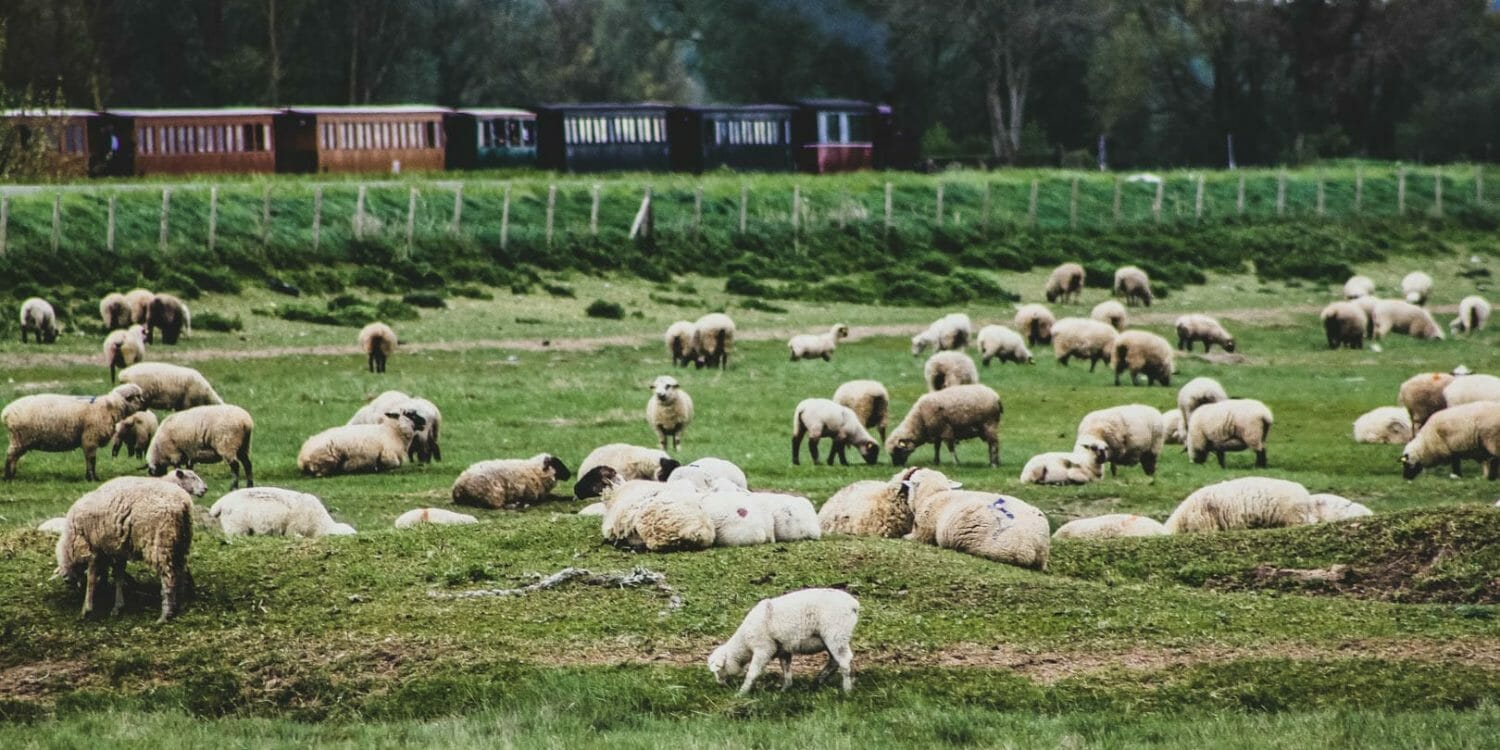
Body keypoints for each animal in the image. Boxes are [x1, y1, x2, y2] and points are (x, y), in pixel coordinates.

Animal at [3, 383, 147, 481]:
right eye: (136, 396)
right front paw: (92, 478)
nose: (146, 405)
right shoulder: (90, 438)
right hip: (19, 437)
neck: (108, 408)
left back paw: (12, 475)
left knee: (14, 456)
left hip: (20, 439)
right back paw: (8, 476)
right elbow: (91, 460)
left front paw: (90, 477)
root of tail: (6, 411)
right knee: (10, 456)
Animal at [57, 471, 204, 622]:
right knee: (180, 570)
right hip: (180, 541)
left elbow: (92, 577)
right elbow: (118, 576)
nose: (205, 489)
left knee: (169, 576)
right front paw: (116, 604)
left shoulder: (93, 549)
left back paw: (165, 614)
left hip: (160, 543)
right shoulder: (115, 550)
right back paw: (178, 603)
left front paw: (87, 608)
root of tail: (183, 502)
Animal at [708, 588, 860, 695]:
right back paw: (819, 681)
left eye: (718, 669)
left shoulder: (763, 649)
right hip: (833, 637)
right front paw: (785, 689)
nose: (719, 684)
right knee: (834, 661)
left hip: (836, 634)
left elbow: (752, 672)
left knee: (844, 661)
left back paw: (847, 690)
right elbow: (786, 669)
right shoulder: (783, 650)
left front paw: (741, 693)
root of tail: (853, 605)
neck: (744, 645)